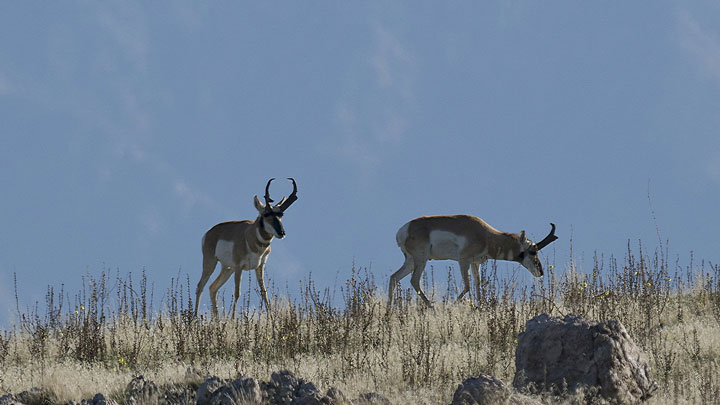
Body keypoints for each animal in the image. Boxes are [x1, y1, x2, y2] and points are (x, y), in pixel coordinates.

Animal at [194, 178, 298, 316]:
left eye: (281, 214)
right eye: (266, 214)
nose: (281, 232)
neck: (250, 237)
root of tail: (209, 232)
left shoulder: (259, 266)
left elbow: (264, 293)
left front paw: (271, 318)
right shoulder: (239, 267)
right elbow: (237, 293)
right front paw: (233, 318)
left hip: (227, 268)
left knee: (212, 288)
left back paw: (216, 319)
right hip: (211, 263)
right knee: (200, 286)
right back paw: (194, 317)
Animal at [388, 216, 556, 308]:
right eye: (533, 251)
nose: (541, 272)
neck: (486, 235)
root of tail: (403, 230)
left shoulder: (476, 263)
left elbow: (477, 284)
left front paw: (481, 307)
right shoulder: (464, 261)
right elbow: (468, 286)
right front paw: (451, 306)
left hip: (411, 262)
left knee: (394, 277)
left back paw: (389, 311)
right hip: (421, 260)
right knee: (414, 281)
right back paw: (432, 308)